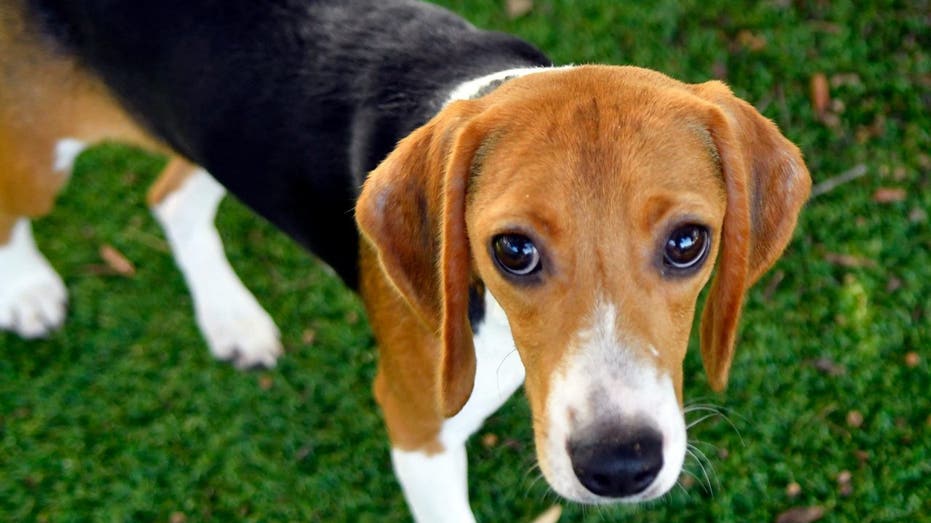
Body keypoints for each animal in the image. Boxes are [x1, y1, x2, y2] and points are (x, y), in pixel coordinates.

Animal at [0, 0, 812, 520]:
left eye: (687, 242)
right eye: (512, 250)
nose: (619, 466)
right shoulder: (418, 426)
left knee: (170, 198)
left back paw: (230, 318)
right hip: (43, 154)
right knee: (16, 208)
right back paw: (30, 290)